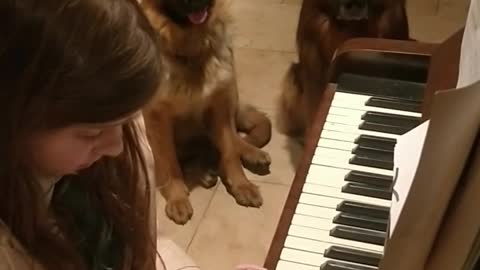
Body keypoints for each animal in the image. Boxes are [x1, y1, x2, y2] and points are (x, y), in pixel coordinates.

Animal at [141, 0, 272, 225]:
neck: (191, 51)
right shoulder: (157, 119)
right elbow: (169, 163)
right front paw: (177, 198)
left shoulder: (220, 106)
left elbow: (230, 152)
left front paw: (241, 185)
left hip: (230, 95)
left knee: (231, 140)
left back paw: (250, 153)